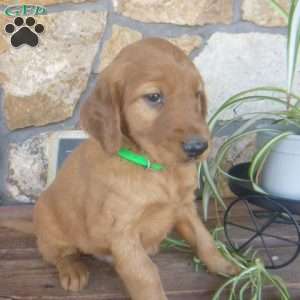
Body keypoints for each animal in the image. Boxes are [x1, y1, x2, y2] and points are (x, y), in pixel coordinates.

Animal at [1, 38, 238, 300]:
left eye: (197, 95)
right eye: (154, 97)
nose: (198, 147)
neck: (158, 169)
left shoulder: (185, 207)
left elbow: (204, 238)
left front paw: (224, 266)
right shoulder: (122, 231)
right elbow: (145, 275)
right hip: (51, 225)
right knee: (58, 253)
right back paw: (72, 269)